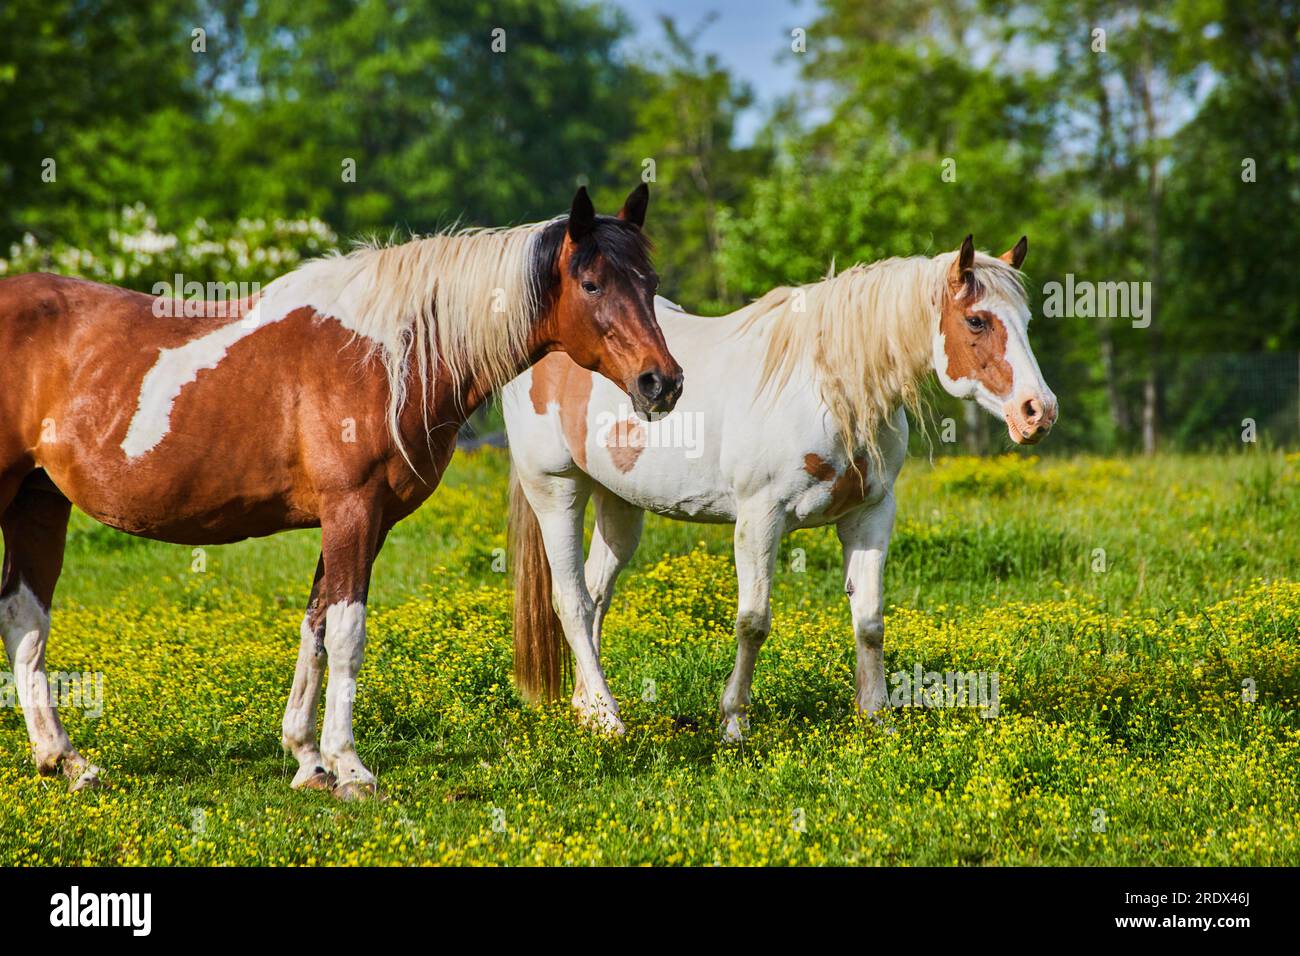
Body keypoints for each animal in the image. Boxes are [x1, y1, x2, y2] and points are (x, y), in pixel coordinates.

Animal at [0, 183, 686, 796]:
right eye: (593, 284)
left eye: (650, 282)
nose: (663, 383)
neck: (387, 355)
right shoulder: (351, 510)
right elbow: (348, 634)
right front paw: (350, 768)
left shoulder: (363, 521)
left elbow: (318, 629)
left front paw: (308, 760)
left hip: (39, 503)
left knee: (24, 616)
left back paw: (65, 761)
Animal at [504, 234, 1055, 738]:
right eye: (977, 321)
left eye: (1027, 323)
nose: (1039, 411)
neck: (830, 390)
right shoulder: (759, 518)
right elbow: (753, 621)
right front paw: (733, 723)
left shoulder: (871, 515)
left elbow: (870, 620)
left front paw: (877, 719)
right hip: (556, 490)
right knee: (572, 602)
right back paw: (609, 720)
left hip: (618, 502)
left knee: (596, 594)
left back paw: (587, 709)